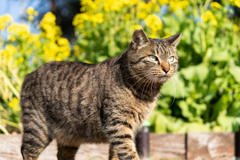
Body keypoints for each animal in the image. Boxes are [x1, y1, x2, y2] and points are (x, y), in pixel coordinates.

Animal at [20, 29, 181, 159]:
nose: (167, 69)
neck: (145, 93)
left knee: (63, 155)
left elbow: (115, 155)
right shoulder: (118, 125)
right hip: (38, 128)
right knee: (26, 151)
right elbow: (129, 154)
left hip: (69, 137)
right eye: (153, 58)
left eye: (171, 58)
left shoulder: (125, 129)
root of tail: (29, 74)